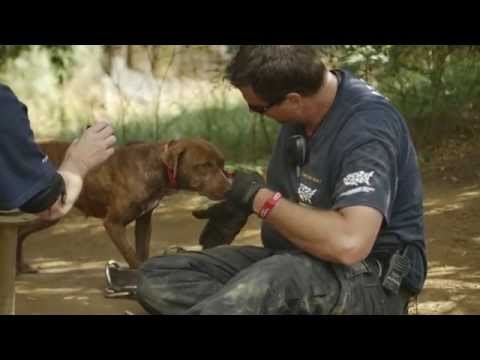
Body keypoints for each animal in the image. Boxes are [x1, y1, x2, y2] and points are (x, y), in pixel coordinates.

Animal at [16, 138, 231, 272]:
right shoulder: (113, 223)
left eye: (222, 165)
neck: (157, 167)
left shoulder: (144, 221)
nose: (230, 187)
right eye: (204, 165)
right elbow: (132, 255)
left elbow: (142, 251)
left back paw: (20, 267)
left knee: (20, 232)